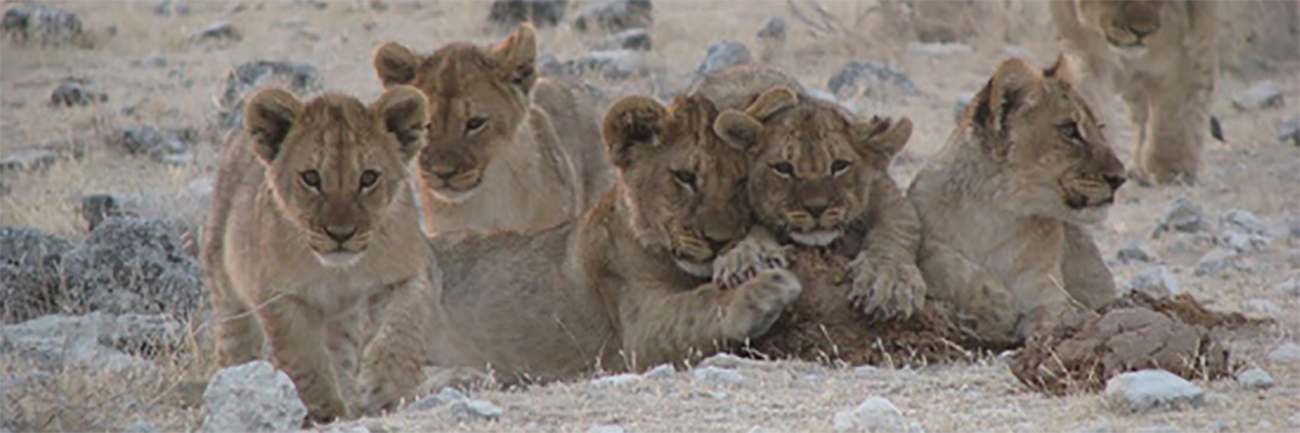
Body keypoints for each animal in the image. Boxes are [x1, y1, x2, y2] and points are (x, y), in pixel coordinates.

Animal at [202, 85, 434, 418]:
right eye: (311, 178)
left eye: (368, 178)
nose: (341, 234)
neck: (338, 271)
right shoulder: (277, 294)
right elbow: (304, 357)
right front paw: (326, 409)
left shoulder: (405, 275)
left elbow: (403, 328)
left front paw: (387, 388)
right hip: (226, 289)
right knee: (236, 343)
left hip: (343, 321)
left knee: (341, 355)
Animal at [421, 93, 795, 382]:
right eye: (684, 177)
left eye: (741, 180)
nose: (719, 241)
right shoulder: (638, 333)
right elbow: (696, 306)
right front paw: (764, 288)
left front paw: (747, 252)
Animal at [909, 57, 1123, 345]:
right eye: (1069, 130)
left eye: (1099, 128)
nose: (1120, 178)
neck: (996, 215)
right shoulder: (925, 240)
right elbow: (948, 265)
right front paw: (998, 306)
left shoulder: (1048, 287)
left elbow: (1052, 318)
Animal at [1050, 0, 1222, 183]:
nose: (1142, 31)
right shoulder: (1086, 58)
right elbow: (1091, 105)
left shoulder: (1187, 52)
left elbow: (1174, 114)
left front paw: (1171, 168)